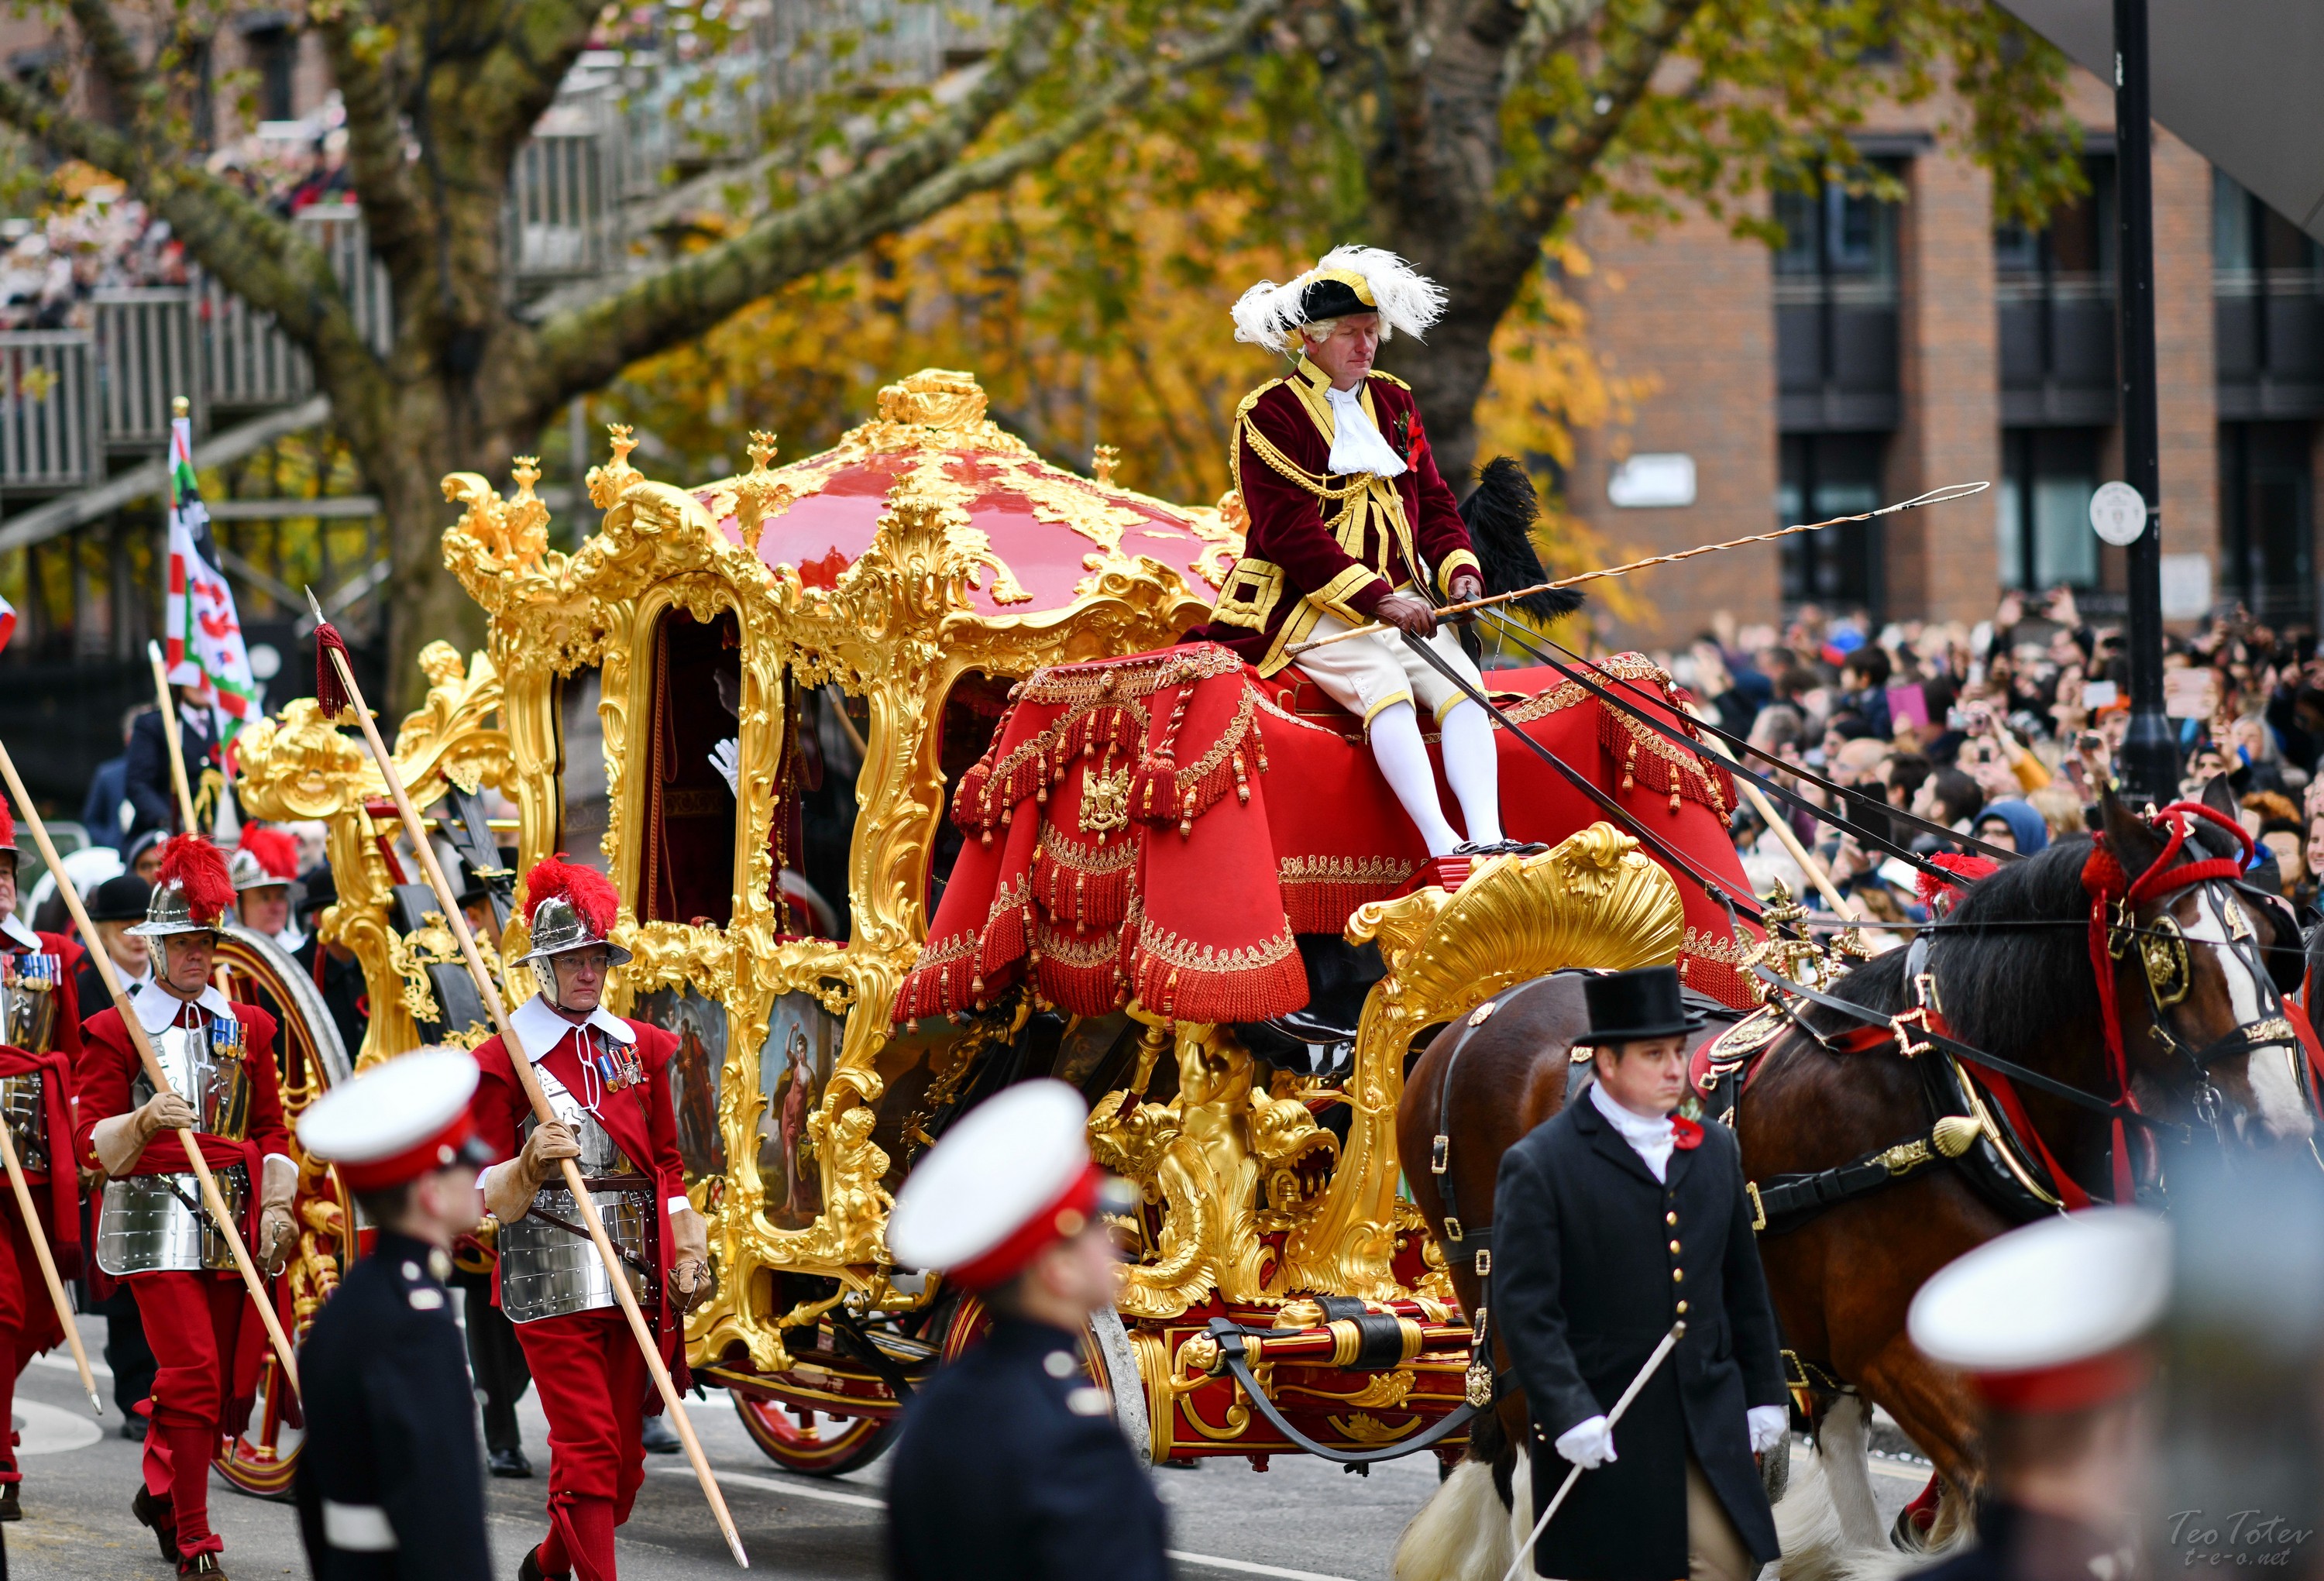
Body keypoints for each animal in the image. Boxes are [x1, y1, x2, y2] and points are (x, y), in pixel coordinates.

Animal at [1385, 785, 2315, 1571]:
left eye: (2275, 946)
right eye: (2166, 954)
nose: (2282, 1131)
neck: (1954, 1094)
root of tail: (1485, 1011)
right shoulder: (1894, 1348)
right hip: (1507, 1317)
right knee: (1525, 1465)